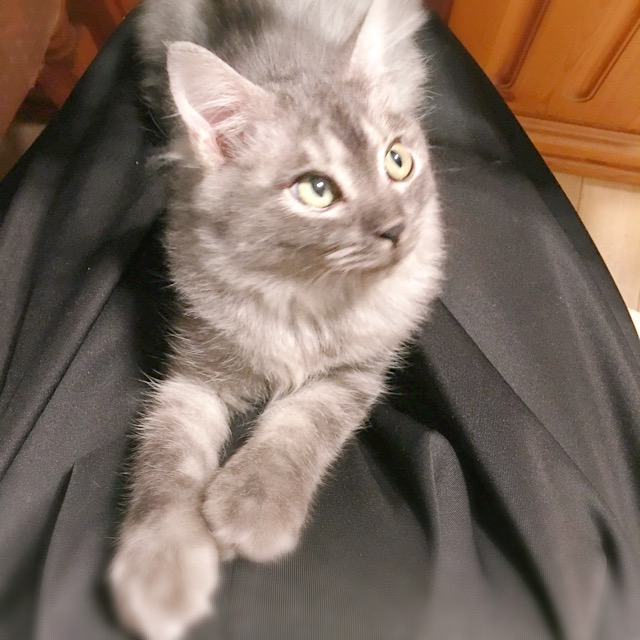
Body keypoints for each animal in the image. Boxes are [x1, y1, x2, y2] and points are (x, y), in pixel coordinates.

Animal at [109, 0, 444, 638]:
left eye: (398, 160)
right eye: (316, 189)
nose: (396, 228)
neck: (300, 295)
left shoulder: (356, 371)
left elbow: (300, 426)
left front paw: (253, 506)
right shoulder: (192, 372)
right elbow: (165, 462)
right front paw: (162, 566)